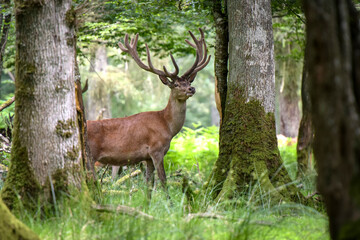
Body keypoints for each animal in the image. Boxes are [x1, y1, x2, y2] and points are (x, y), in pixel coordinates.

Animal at [87, 28, 210, 198]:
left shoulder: (147, 157)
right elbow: (163, 181)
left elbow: (149, 184)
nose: (192, 88)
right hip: (90, 155)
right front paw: (169, 202)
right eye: (176, 84)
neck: (167, 126)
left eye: (189, 81)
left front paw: (147, 202)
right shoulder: (156, 149)